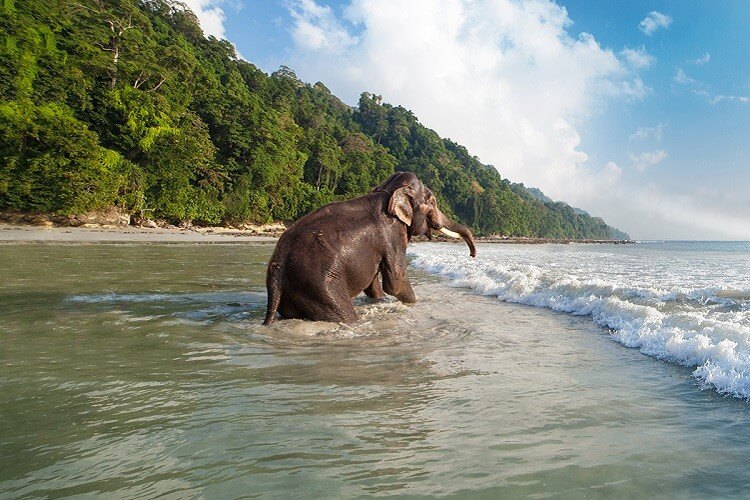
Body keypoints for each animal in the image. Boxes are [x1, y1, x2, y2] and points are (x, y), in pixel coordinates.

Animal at [263, 172, 476, 324]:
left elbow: (374, 281)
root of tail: (277, 268)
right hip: (319, 286)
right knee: (344, 314)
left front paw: (381, 300)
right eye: (432, 202)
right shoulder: (392, 234)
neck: (387, 192)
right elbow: (396, 282)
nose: (473, 255)